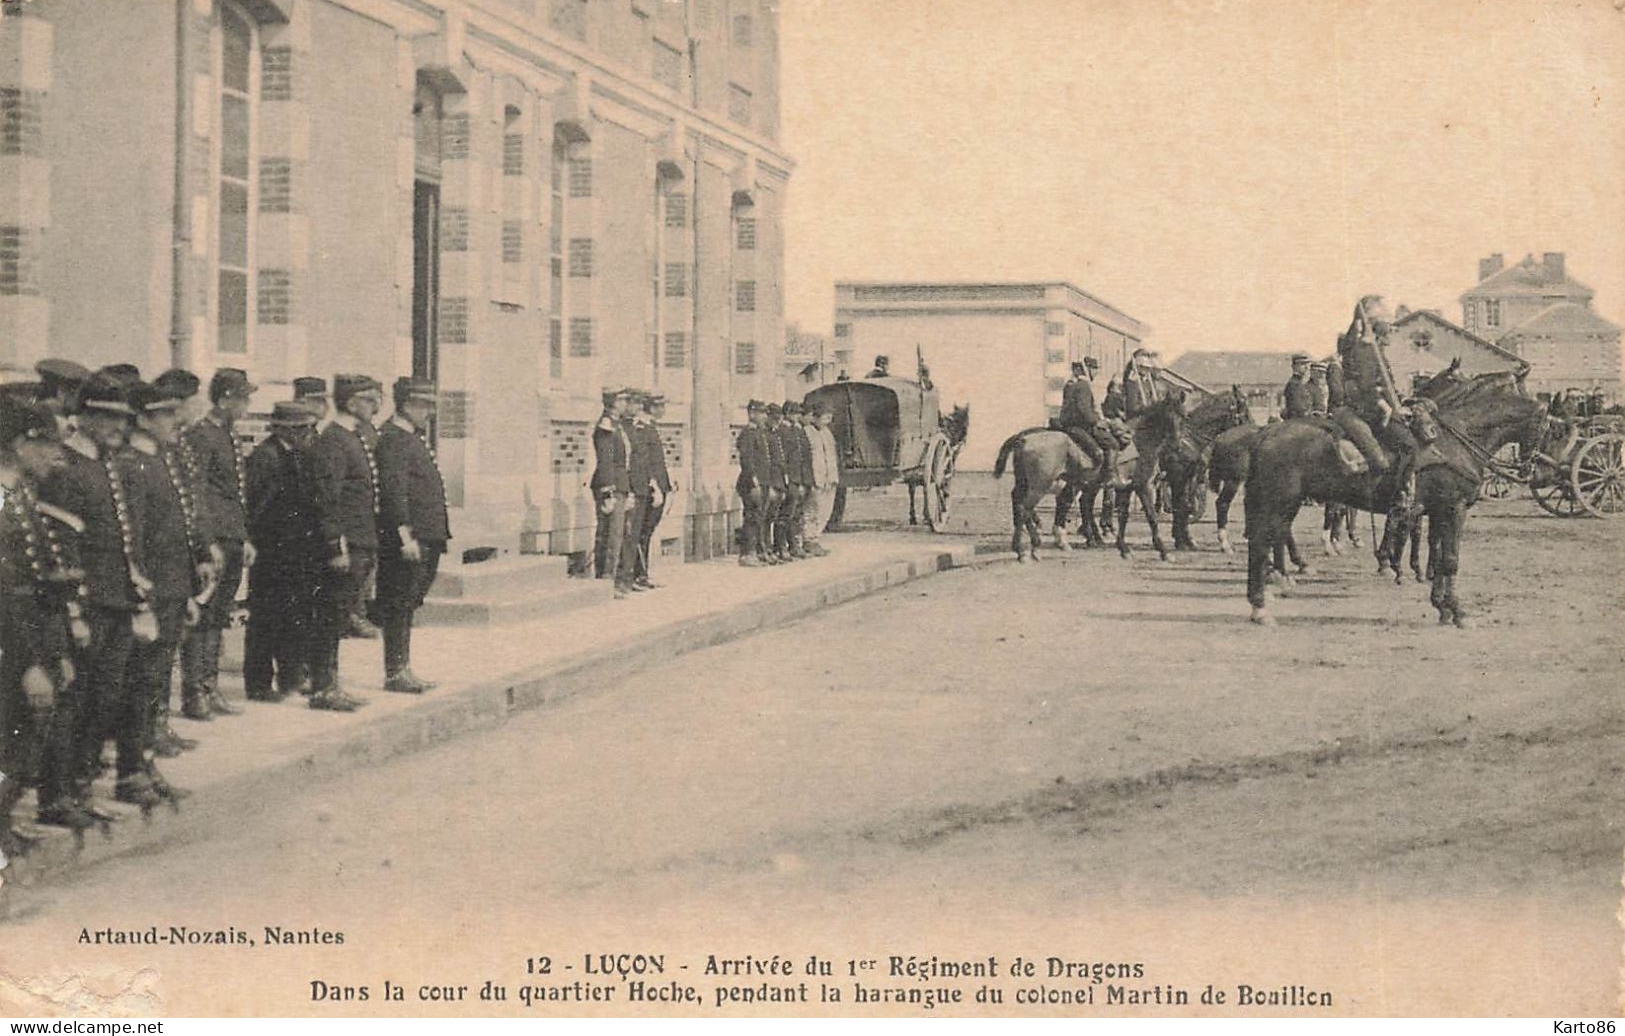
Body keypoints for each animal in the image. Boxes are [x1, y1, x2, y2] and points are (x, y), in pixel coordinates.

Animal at [981, 392, 1189, 565]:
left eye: (1184, 416)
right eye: (1169, 416)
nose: (1177, 446)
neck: (1139, 440)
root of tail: (1023, 439)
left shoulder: (1126, 488)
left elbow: (1123, 517)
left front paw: (1124, 549)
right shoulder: (1143, 486)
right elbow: (1152, 518)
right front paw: (1164, 552)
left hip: (1028, 484)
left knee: (1020, 504)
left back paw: (1031, 546)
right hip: (1040, 486)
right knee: (1025, 508)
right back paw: (1027, 549)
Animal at [1241, 373, 1547, 633]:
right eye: (1546, 426)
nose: (1532, 469)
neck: (1457, 441)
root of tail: (1264, 434)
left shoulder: (1437, 511)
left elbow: (1438, 554)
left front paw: (1441, 606)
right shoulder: (1453, 508)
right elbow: (1450, 559)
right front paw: (1459, 612)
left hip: (1283, 504)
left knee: (1267, 539)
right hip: (1279, 501)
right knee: (1262, 542)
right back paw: (1262, 605)